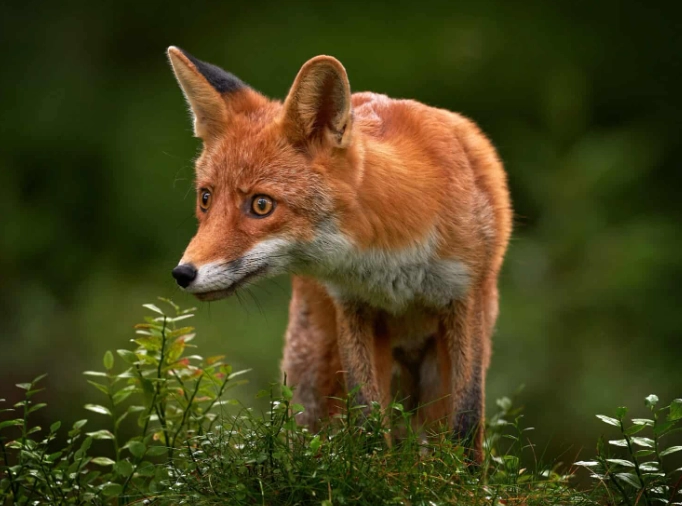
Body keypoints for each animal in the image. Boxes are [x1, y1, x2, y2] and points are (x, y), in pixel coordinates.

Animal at [167, 46, 512, 458]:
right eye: (206, 198)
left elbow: (466, 418)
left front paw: (464, 474)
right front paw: (378, 470)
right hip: (315, 375)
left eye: (261, 205)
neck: (392, 258)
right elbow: (368, 419)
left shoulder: (464, 301)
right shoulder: (354, 307)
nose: (183, 273)